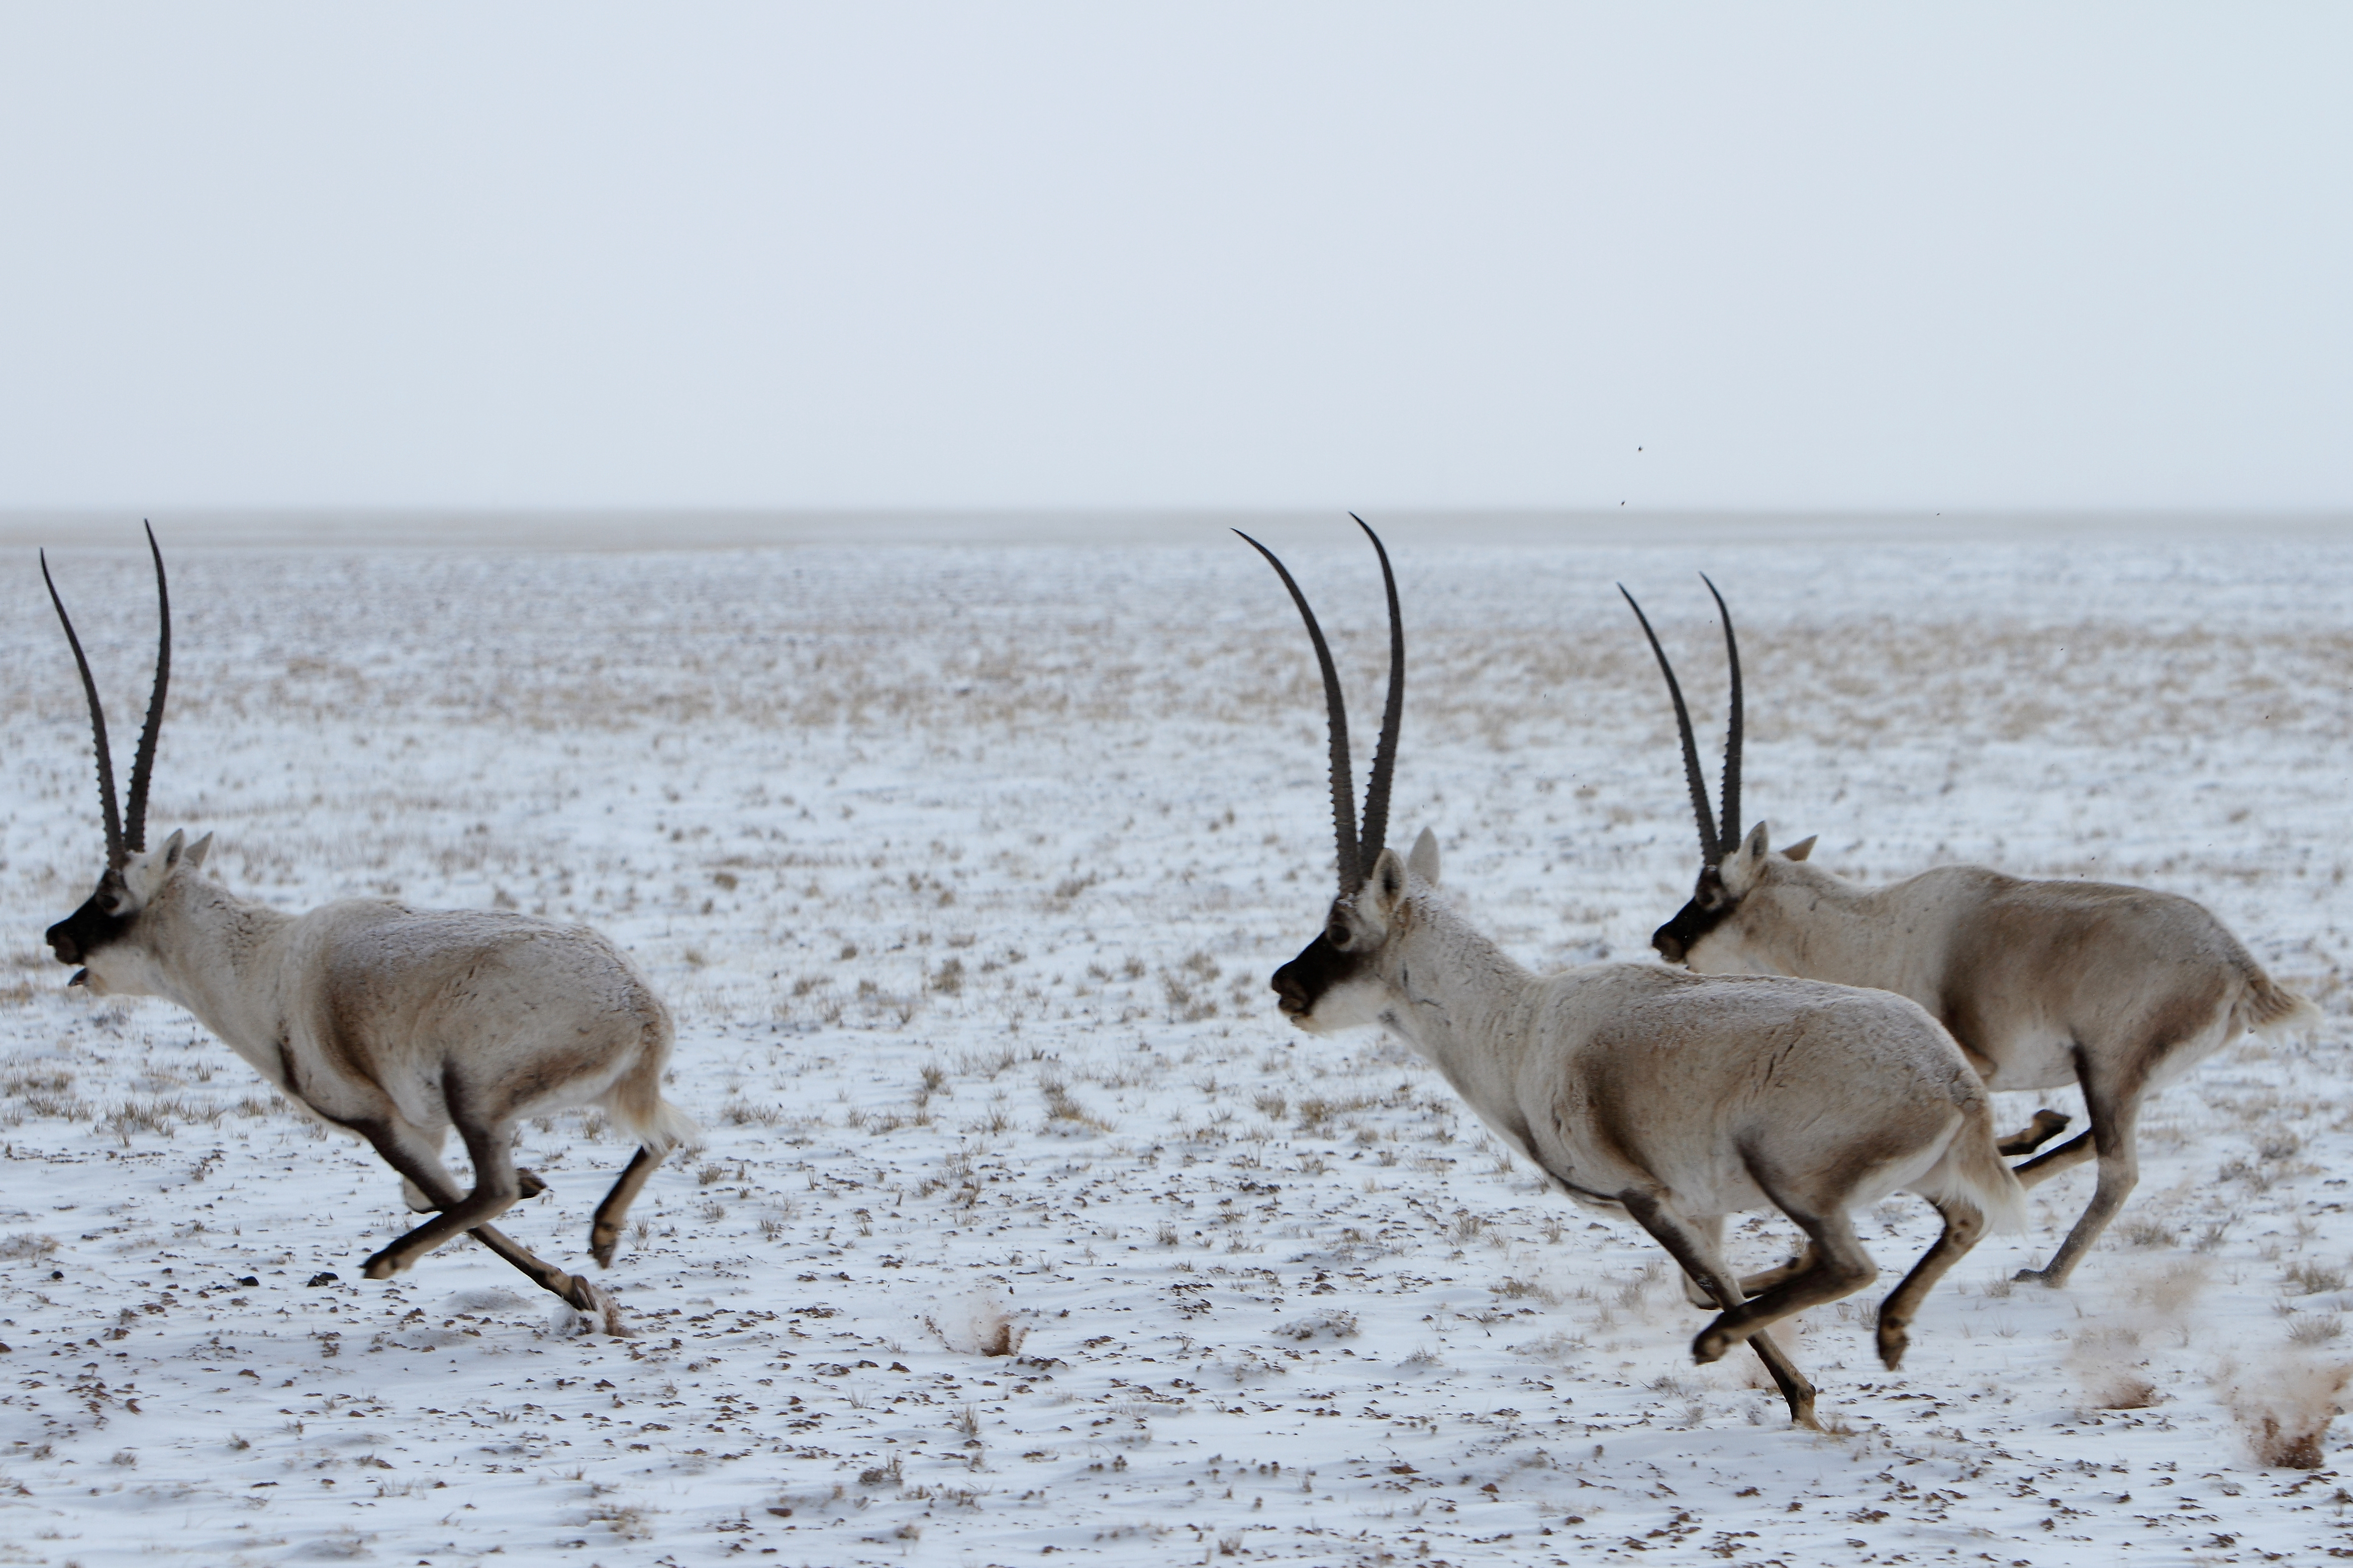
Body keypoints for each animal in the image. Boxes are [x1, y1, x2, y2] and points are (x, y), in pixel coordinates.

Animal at [39, 534, 687, 1335]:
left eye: (109, 895)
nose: (58, 938)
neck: (261, 959)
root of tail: (640, 1011)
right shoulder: (422, 1127)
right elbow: (428, 1192)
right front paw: (566, 1245)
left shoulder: (383, 1121)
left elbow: (439, 1194)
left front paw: (565, 1279)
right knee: (665, 1133)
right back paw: (600, 1237)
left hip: (473, 1090)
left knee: (492, 1189)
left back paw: (407, 1260)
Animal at [1242, 521, 2033, 1429]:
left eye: (1339, 928)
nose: (1286, 987)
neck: (1521, 1024)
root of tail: (1954, 1083)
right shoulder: (1704, 1206)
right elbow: (1707, 1284)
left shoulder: (1646, 1195)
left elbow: (1710, 1290)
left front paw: (1789, 1389)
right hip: (1926, 1178)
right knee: (1960, 1224)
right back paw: (1893, 1329)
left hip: (1790, 1172)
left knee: (1849, 1263)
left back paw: (1751, 1342)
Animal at [1619, 580, 2315, 1288]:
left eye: (1710, 892)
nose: (1665, 939)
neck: (1869, 930)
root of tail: (2238, 965)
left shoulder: (1964, 1067)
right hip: (2126, 1083)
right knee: (2088, 1145)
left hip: (2109, 1069)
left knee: (2116, 1170)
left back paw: (2047, 1274)